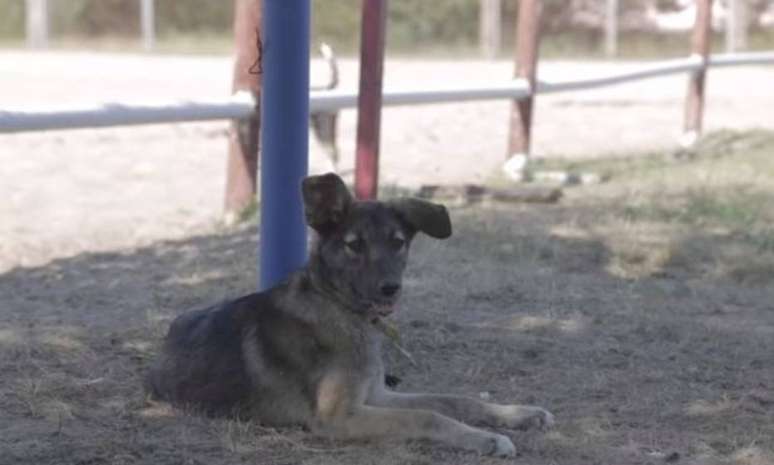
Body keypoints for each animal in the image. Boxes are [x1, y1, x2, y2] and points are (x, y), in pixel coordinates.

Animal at [146, 172, 556, 454]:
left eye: (398, 243)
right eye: (354, 246)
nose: (390, 288)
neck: (341, 310)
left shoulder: (376, 397)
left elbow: (456, 400)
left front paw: (518, 415)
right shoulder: (338, 417)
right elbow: (427, 415)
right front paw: (487, 439)